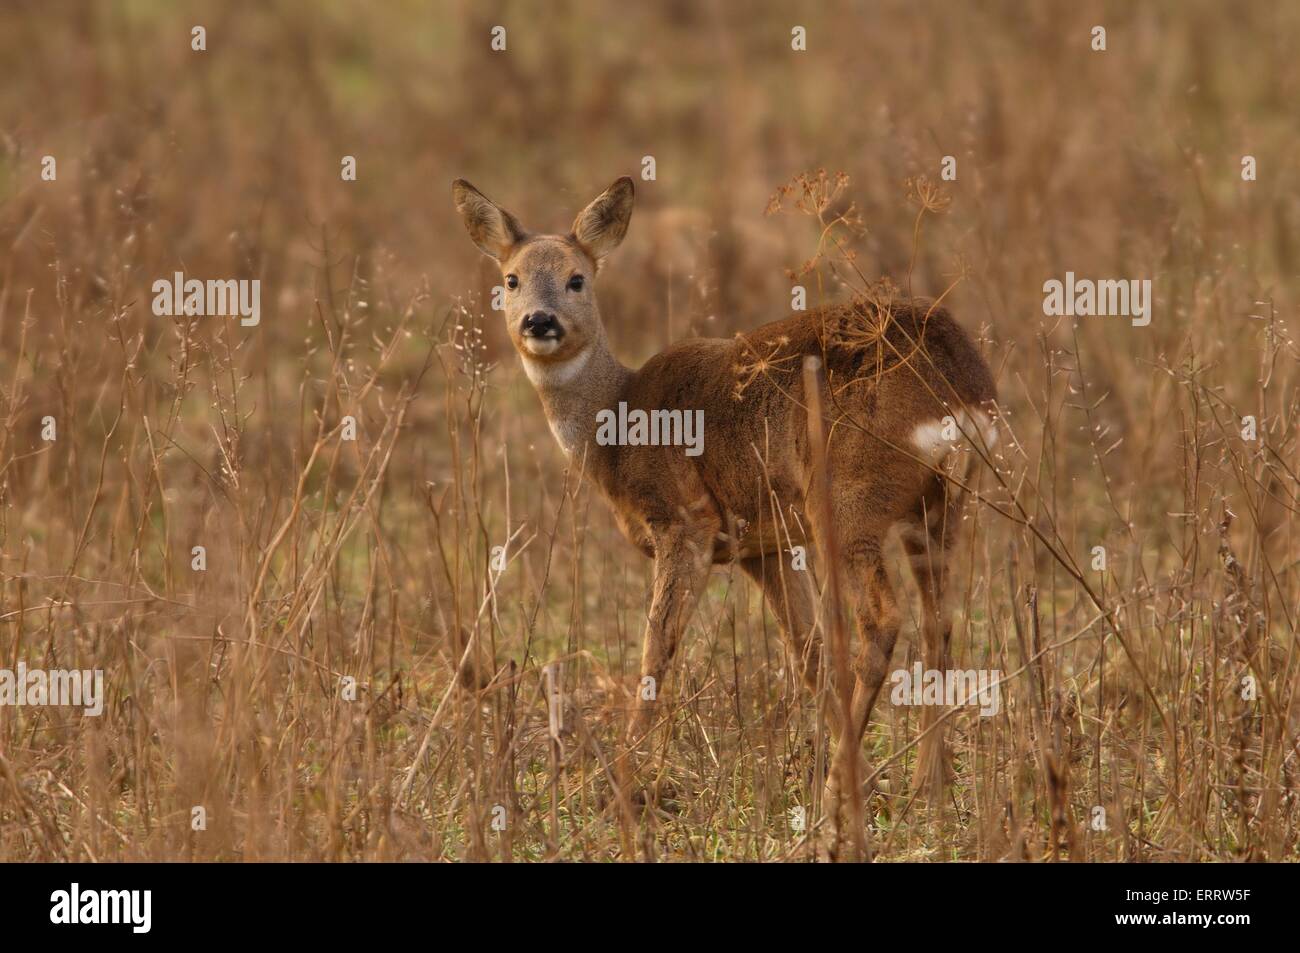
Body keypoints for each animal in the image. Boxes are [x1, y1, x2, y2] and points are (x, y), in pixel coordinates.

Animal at [452, 175, 999, 824]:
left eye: (577, 278)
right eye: (510, 279)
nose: (539, 321)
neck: (615, 430)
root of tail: (961, 387)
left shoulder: (685, 519)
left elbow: (657, 648)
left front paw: (621, 786)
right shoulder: (760, 545)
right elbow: (808, 653)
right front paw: (871, 779)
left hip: (848, 494)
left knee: (883, 620)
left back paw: (837, 792)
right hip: (941, 502)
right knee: (941, 620)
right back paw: (925, 787)